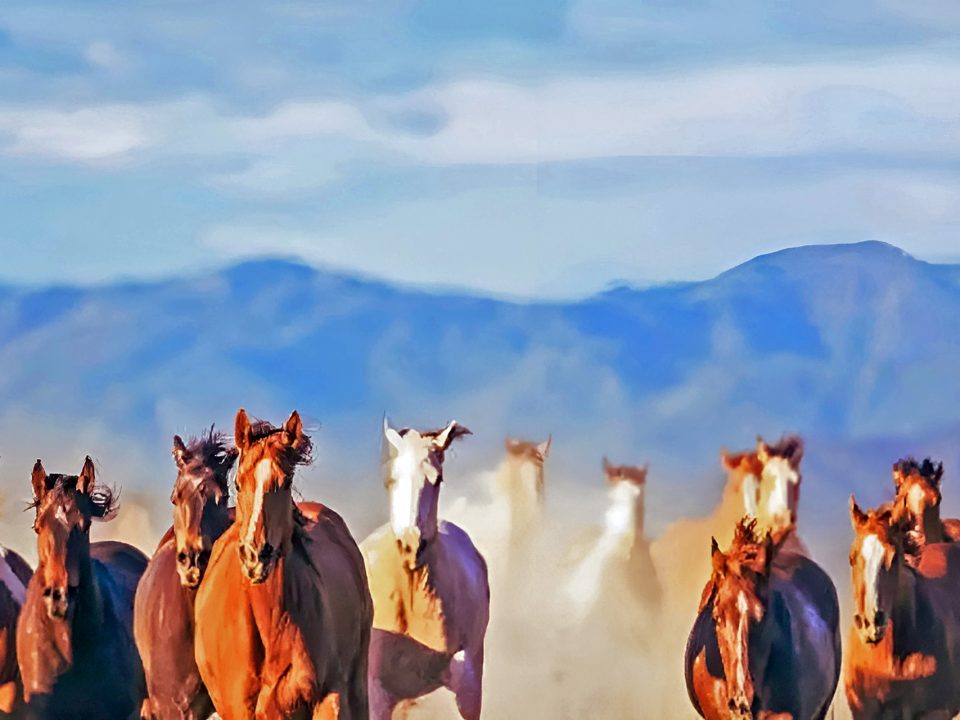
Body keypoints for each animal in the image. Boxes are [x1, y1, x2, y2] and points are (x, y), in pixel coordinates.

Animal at [194, 409, 372, 719]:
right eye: (238, 483)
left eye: (286, 482)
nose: (256, 556)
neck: (273, 627)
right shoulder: (242, 709)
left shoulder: (328, 697)